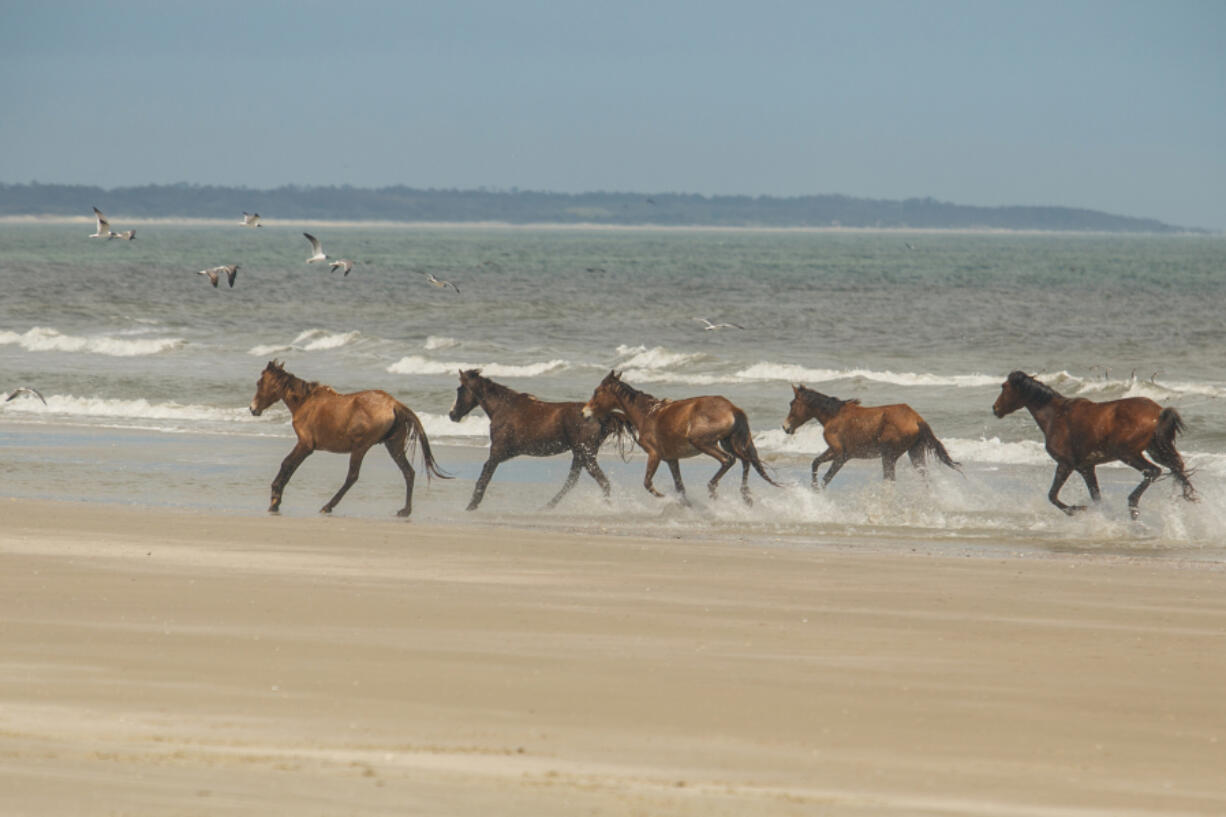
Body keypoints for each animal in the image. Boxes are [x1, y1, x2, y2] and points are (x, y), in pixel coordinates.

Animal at [246, 358, 448, 512]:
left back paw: (327, 506)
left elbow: (287, 465)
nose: (252, 409)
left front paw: (275, 500)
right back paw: (405, 510)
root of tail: (394, 404)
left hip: (361, 448)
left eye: (259, 383)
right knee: (408, 472)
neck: (305, 402)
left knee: (352, 477)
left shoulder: (305, 444)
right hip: (394, 446)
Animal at [446, 368, 627, 510]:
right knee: (573, 482)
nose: (452, 415)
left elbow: (484, 478)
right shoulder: (505, 453)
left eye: (459, 389)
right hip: (580, 455)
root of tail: (602, 416)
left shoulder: (497, 452)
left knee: (601, 482)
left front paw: (471, 506)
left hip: (585, 455)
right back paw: (547, 507)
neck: (503, 408)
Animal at [581, 370, 774, 502]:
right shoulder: (671, 459)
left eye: (597, 391)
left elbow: (648, 483)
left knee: (728, 460)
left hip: (702, 442)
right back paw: (746, 497)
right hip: (729, 442)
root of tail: (733, 408)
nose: (584, 413)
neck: (647, 414)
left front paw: (663, 496)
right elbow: (680, 487)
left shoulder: (655, 454)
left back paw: (714, 490)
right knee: (746, 461)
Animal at [779, 380, 961, 485]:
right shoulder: (837, 453)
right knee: (924, 478)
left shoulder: (840, 455)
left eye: (791, 403)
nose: (785, 427)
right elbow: (815, 463)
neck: (834, 415)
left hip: (889, 456)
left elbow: (826, 477)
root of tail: (917, 419)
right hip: (915, 453)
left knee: (890, 481)